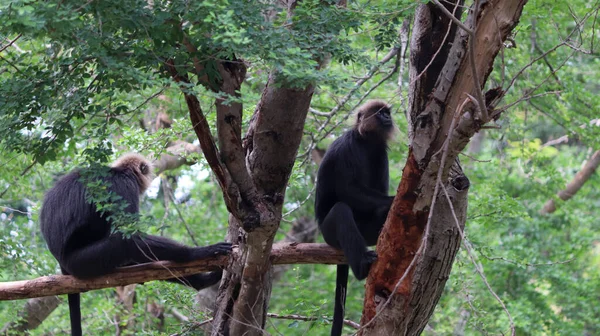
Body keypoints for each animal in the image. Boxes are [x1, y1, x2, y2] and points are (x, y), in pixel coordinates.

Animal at [39, 153, 232, 336]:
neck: (118, 171)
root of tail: (62, 262)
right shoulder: (125, 186)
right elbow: (129, 235)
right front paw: (201, 252)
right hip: (83, 261)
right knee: (123, 243)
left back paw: (201, 282)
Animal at [316, 100, 396, 336]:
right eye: (380, 113)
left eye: (387, 113)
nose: (387, 118)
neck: (366, 141)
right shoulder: (348, 146)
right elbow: (347, 189)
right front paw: (391, 201)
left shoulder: (380, 153)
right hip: (328, 233)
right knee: (341, 210)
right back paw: (362, 266)